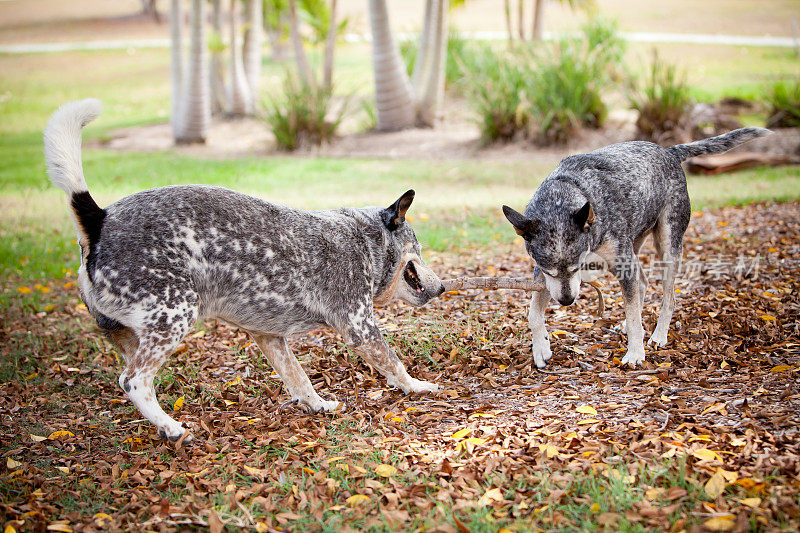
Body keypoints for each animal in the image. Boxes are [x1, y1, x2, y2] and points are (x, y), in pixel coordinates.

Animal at [45, 100, 444, 440]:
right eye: (419, 248)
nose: (442, 288)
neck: (363, 237)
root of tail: (98, 220)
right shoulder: (360, 326)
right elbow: (394, 365)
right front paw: (418, 387)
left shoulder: (269, 337)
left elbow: (298, 378)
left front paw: (316, 405)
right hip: (174, 314)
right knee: (133, 381)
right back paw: (173, 428)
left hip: (132, 333)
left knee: (136, 378)